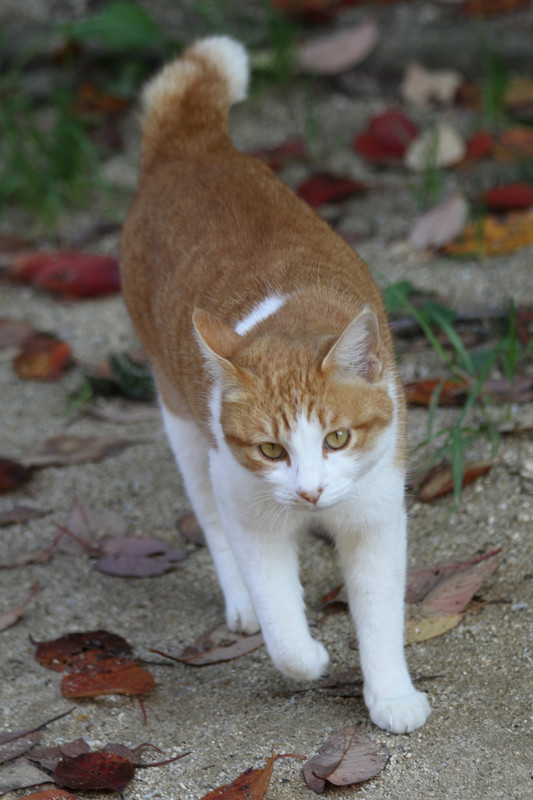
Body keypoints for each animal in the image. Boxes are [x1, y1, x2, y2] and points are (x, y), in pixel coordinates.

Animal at [119, 34, 428, 736]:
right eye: (270, 450)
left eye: (337, 438)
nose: (310, 492)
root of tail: (191, 147)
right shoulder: (246, 501)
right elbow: (282, 629)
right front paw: (308, 654)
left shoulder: (377, 512)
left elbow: (379, 614)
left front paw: (391, 696)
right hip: (184, 427)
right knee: (210, 522)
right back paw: (240, 604)